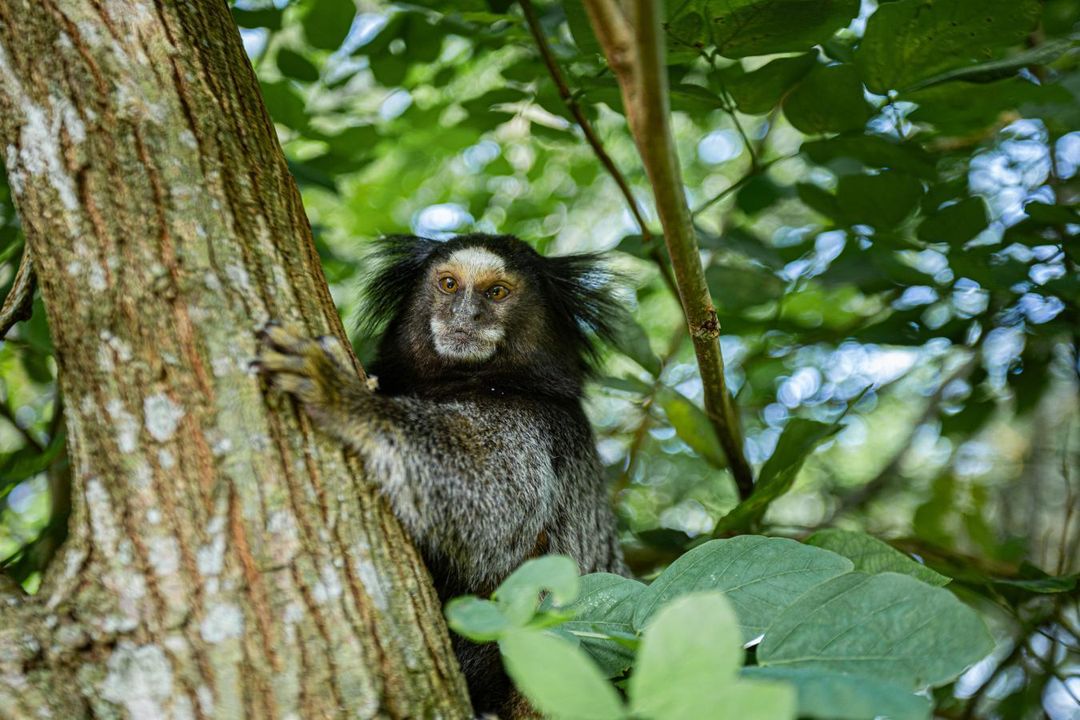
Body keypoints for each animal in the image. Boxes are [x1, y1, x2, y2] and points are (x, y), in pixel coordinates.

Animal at [258, 234, 630, 716]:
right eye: (449, 284)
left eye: (496, 293)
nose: (464, 316)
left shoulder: (534, 425)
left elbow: (488, 501)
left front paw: (343, 396)